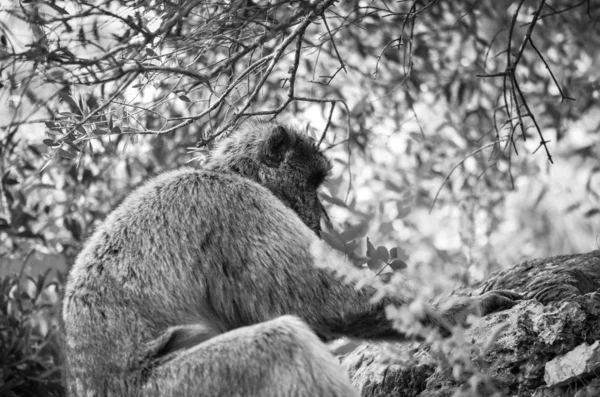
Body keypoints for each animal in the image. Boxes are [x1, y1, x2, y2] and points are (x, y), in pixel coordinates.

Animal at [62, 120, 520, 396]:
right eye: (314, 182)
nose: (321, 217)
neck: (229, 173)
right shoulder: (239, 206)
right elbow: (314, 304)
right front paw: (455, 311)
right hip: (180, 386)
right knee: (282, 342)